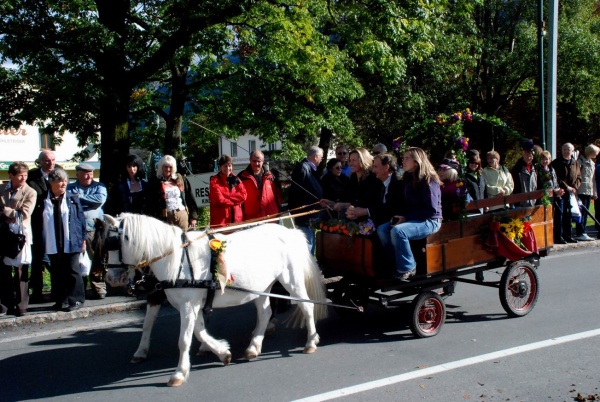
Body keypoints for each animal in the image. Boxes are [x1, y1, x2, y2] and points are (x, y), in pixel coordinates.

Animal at [105, 214, 326, 386]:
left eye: (115, 242)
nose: (111, 278)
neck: (177, 259)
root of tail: (289, 233)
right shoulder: (191, 305)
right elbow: (199, 332)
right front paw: (222, 352)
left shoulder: (188, 306)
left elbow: (184, 340)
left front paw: (179, 374)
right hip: (261, 287)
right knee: (265, 313)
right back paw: (253, 347)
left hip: (291, 280)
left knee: (306, 307)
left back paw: (311, 342)